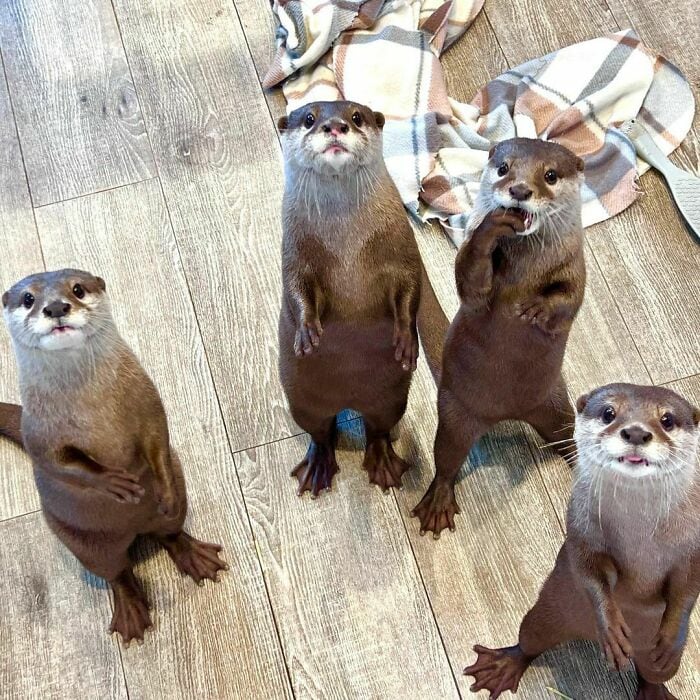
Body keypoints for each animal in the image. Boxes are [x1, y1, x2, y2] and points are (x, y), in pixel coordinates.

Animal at [1, 269, 227, 644]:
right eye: (28, 298)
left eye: (77, 289)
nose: (56, 307)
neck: (93, 410)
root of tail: (135, 529)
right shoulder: (38, 432)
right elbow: (59, 462)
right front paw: (114, 482)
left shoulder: (148, 399)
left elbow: (158, 437)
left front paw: (159, 490)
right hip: (82, 542)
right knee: (116, 571)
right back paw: (131, 610)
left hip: (179, 496)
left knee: (170, 532)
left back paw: (195, 555)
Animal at [278, 101, 421, 496]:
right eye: (309, 118)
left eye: (357, 116)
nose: (334, 125)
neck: (347, 247)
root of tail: (349, 401)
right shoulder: (294, 251)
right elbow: (296, 288)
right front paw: (307, 333)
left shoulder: (403, 250)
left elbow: (411, 288)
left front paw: (406, 341)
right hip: (302, 399)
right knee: (320, 432)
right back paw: (317, 467)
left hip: (391, 398)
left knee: (379, 429)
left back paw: (384, 464)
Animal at [413, 138, 586, 536]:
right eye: (504, 168)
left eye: (550, 175)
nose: (520, 190)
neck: (527, 270)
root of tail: (508, 414)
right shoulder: (471, 273)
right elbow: (470, 279)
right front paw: (492, 228)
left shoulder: (575, 262)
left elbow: (569, 300)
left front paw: (536, 308)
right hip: (454, 412)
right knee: (446, 460)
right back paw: (438, 503)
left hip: (554, 401)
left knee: (565, 435)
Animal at [465, 382, 700, 700]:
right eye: (609, 412)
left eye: (667, 419)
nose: (636, 432)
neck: (640, 537)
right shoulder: (581, 530)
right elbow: (589, 573)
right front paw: (611, 629)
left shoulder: (692, 546)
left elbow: (687, 588)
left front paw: (671, 637)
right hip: (546, 614)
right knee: (529, 640)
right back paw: (504, 664)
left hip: (660, 664)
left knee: (653, 674)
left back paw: (655, 690)